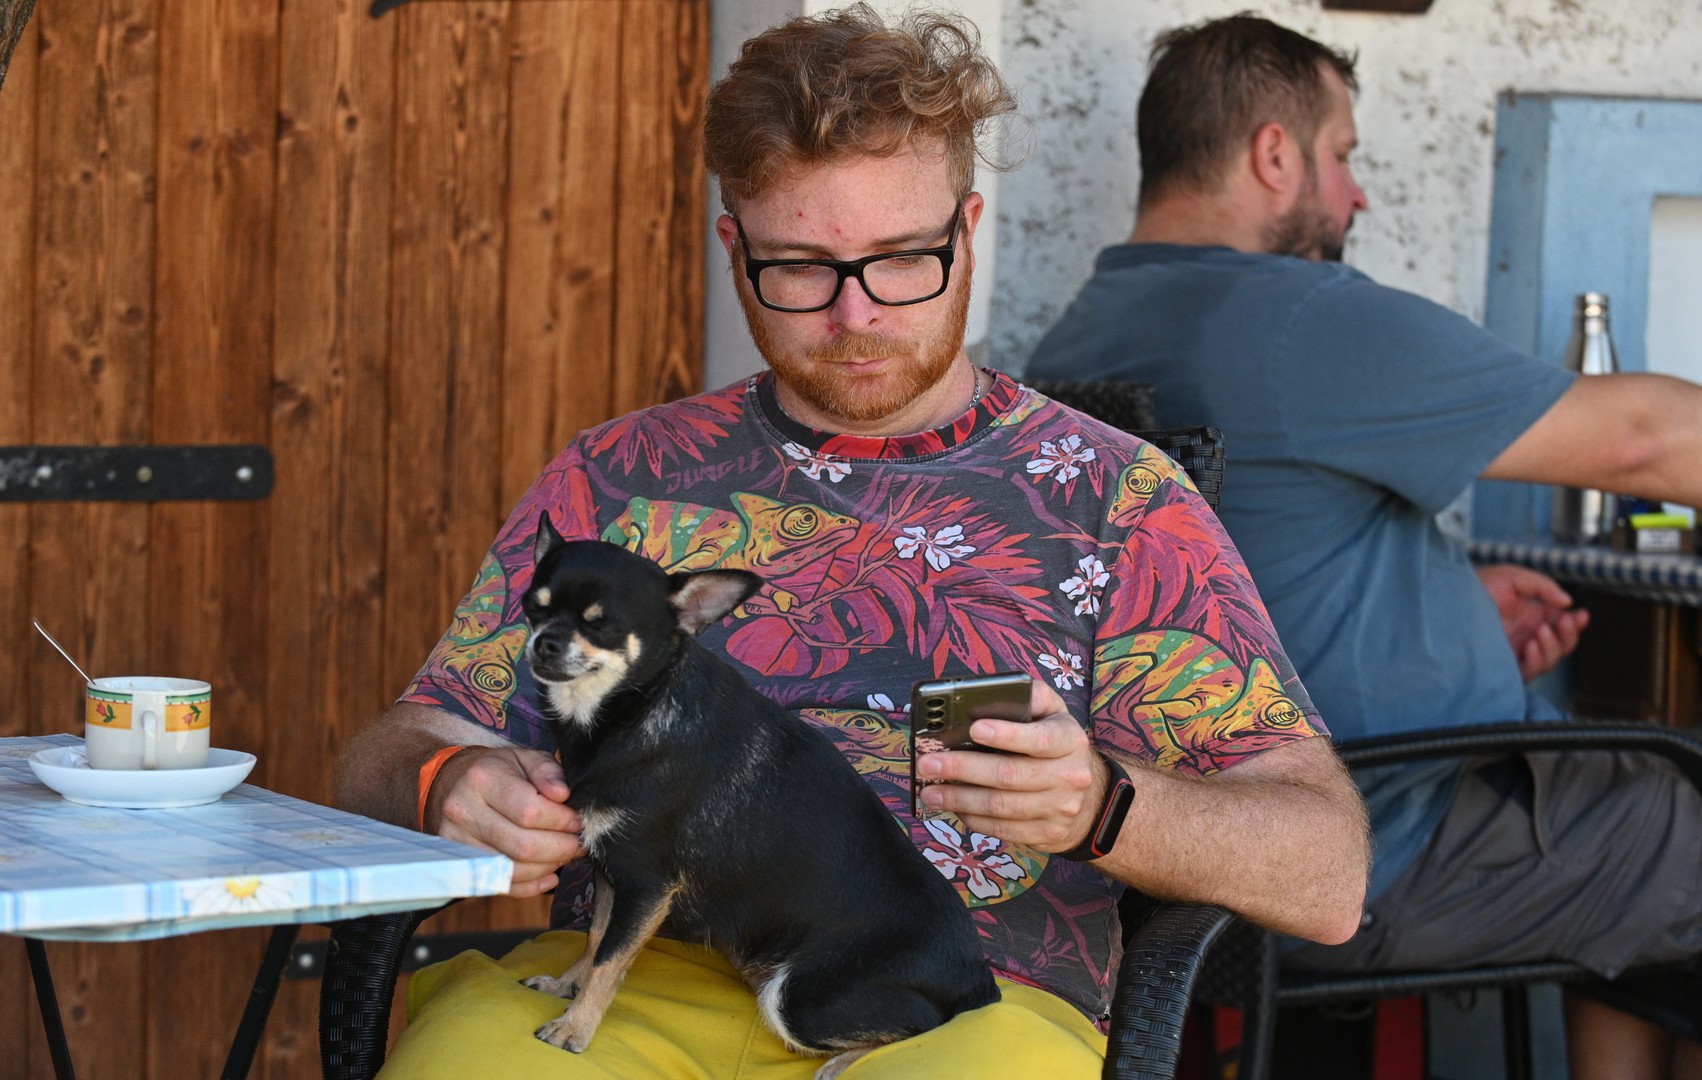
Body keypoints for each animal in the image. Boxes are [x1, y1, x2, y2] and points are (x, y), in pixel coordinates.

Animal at [518, 514, 999, 1077]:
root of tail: (979, 981)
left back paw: (842, 1063)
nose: (545, 642)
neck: (629, 711)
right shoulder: (612, 872)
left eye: (603, 626)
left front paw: (575, 1028)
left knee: (925, 1024)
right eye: (533, 609)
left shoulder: (646, 884)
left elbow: (611, 961)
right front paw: (565, 985)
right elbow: (596, 941)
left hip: (797, 995)